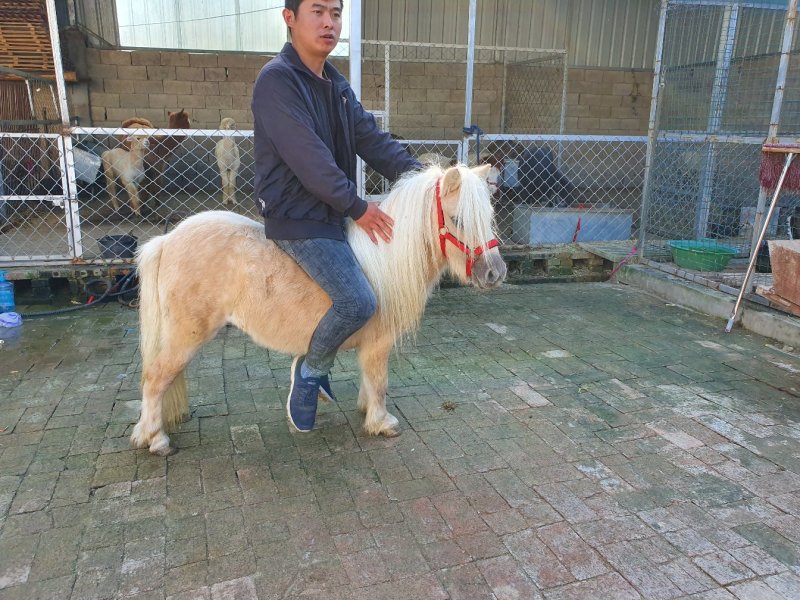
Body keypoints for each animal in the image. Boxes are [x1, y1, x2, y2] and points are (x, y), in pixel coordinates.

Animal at [130, 164, 507, 456]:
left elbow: (368, 381)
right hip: (185, 336)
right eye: (459, 219)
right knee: (154, 379)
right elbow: (379, 382)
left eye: (490, 217)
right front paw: (380, 422)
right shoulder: (378, 344)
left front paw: (366, 409)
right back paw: (156, 439)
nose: (494, 273)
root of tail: (166, 240)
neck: (384, 260)